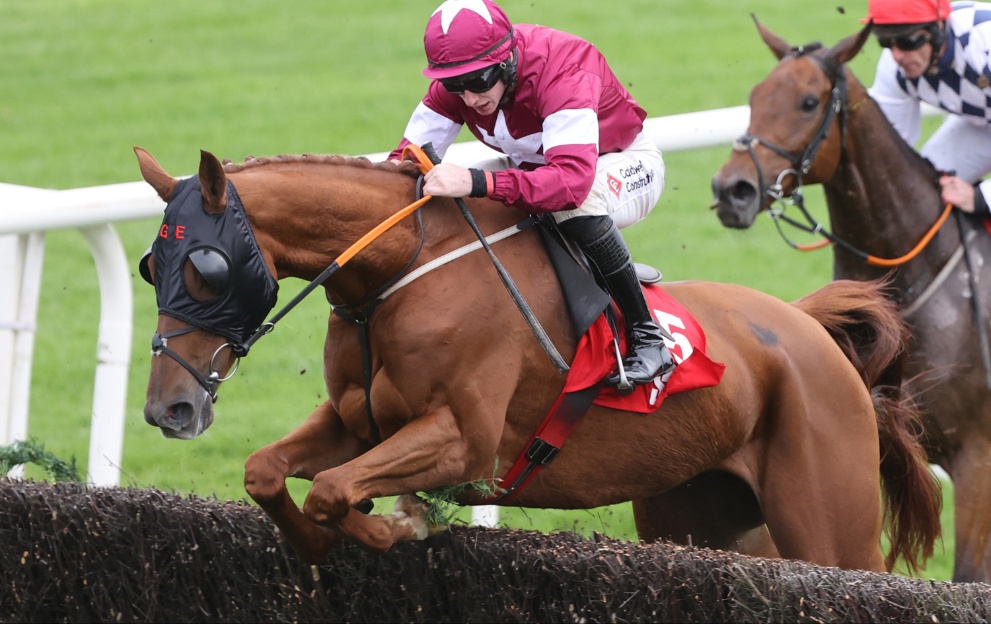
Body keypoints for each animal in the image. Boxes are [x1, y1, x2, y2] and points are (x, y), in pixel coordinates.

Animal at [136, 146, 940, 576]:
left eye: (205, 269)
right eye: (151, 266)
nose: (167, 408)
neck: (404, 269)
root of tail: (806, 328)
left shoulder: (466, 441)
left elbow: (333, 489)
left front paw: (398, 526)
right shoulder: (357, 422)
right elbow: (268, 472)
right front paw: (316, 538)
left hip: (830, 523)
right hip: (701, 514)